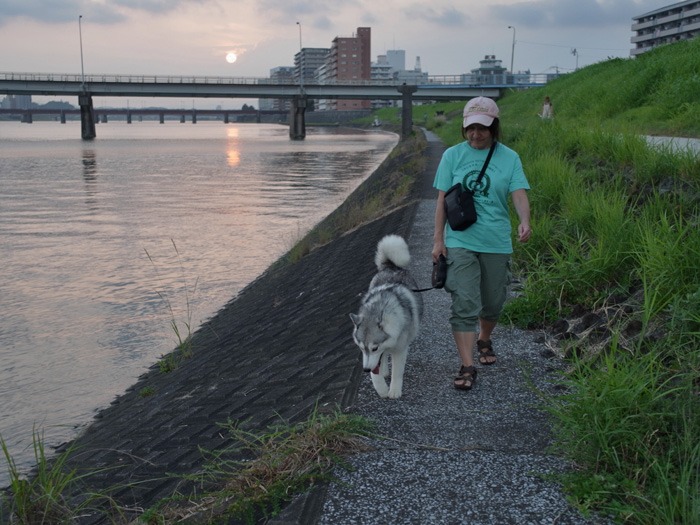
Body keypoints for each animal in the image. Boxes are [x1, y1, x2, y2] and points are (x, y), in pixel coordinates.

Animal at [348, 233, 422, 398]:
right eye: (361, 348)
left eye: (374, 348)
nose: (365, 370)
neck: (378, 308)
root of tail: (391, 266)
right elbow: (375, 372)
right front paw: (381, 388)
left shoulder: (399, 349)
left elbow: (397, 371)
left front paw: (394, 390)